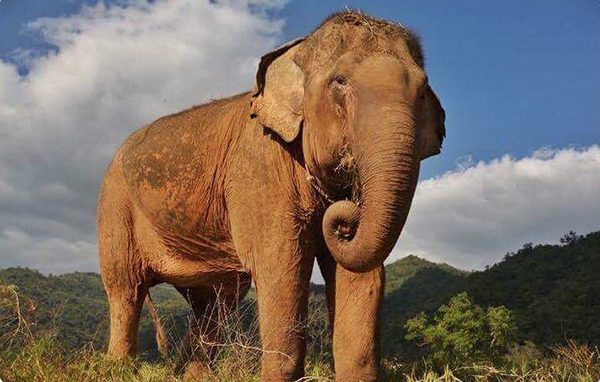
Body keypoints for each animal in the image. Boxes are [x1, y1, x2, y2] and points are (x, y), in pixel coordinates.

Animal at [97, 11, 446, 382]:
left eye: (423, 91)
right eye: (339, 82)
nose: (345, 216)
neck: (299, 49)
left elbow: (360, 274)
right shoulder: (260, 166)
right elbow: (282, 262)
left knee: (215, 302)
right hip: (114, 204)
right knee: (126, 288)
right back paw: (118, 368)